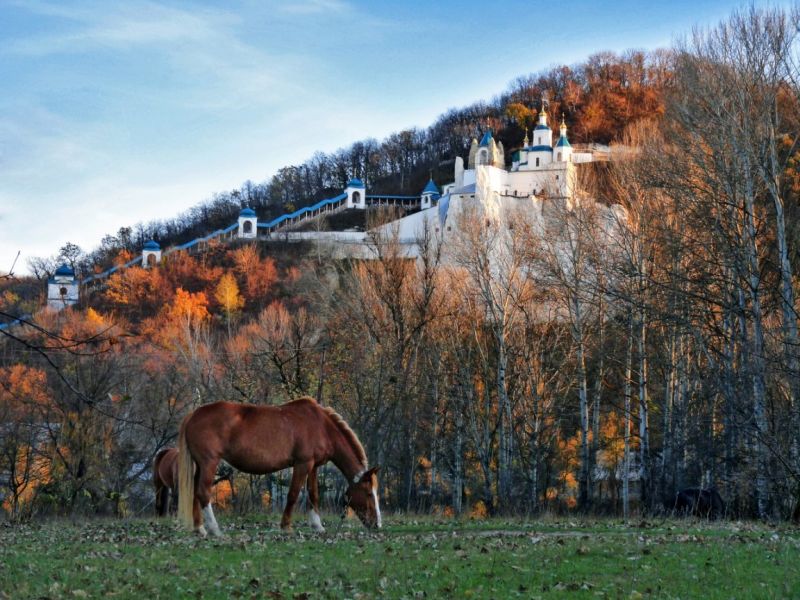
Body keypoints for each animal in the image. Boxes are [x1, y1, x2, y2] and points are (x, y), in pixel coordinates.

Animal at [178, 396, 382, 536]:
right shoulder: (302, 464)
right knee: (203, 492)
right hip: (209, 463)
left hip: (200, 466)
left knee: (196, 492)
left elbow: (313, 494)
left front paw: (317, 526)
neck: (321, 425)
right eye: (368, 493)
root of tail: (194, 414)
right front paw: (286, 527)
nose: (378, 525)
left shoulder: (313, 466)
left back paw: (200, 528)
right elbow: (293, 495)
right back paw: (214, 529)